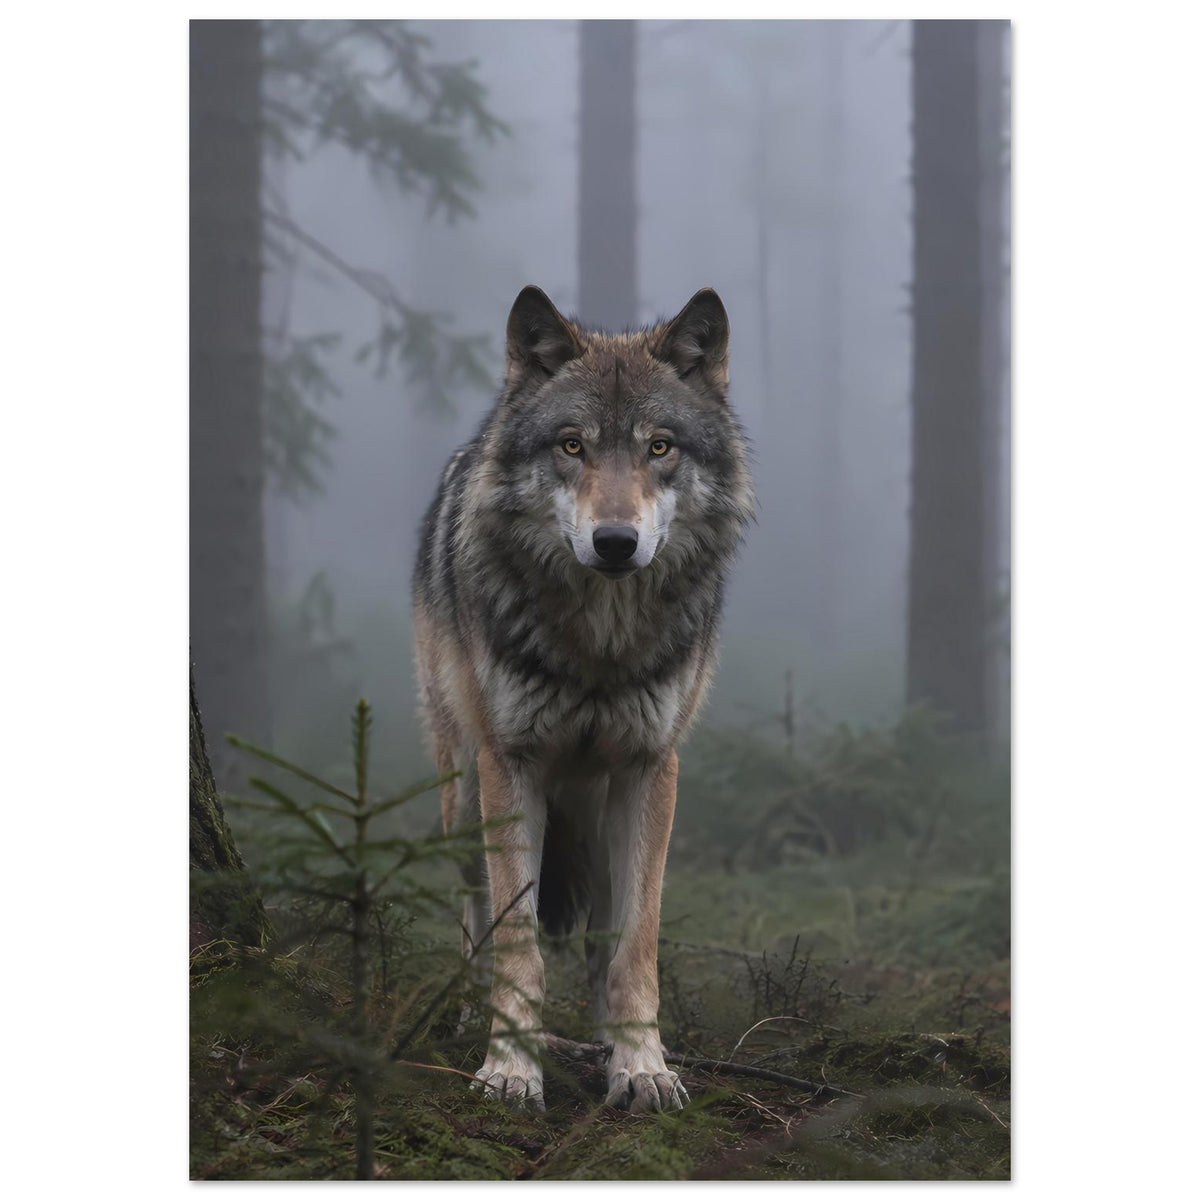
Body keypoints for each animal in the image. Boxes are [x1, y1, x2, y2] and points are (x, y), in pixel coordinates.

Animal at [412, 285, 753, 1113]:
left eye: (660, 447)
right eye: (572, 446)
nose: (615, 542)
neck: (600, 644)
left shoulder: (650, 769)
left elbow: (636, 946)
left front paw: (642, 1065)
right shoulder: (512, 765)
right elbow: (518, 944)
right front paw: (509, 1068)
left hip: (597, 814)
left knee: (601, 934)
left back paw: (605, 1041)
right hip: (463, 795)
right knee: (473, 915)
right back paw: (464, 1017)